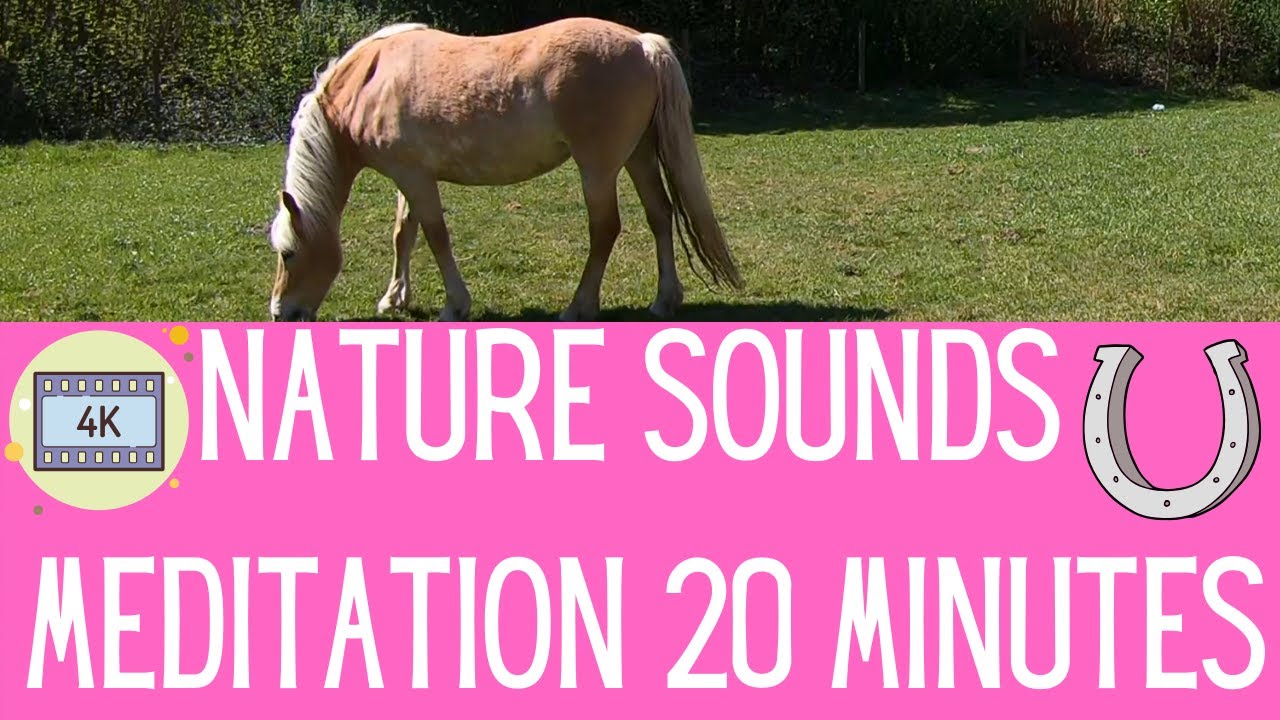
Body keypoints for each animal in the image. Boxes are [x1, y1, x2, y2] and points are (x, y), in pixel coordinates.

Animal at [268, 17, 743, 322]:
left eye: (287, 253)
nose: (280, 313)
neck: (370, 80)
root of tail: (643, 45)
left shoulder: (416, 178)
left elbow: (436, 236)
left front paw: (454, 307)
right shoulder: (410, 176)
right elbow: (405, 233)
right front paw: (394, 300)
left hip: (598, 168)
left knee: (605, 229)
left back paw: (578, 307)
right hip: (638, 156)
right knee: (660, 215)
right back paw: (664, 301)